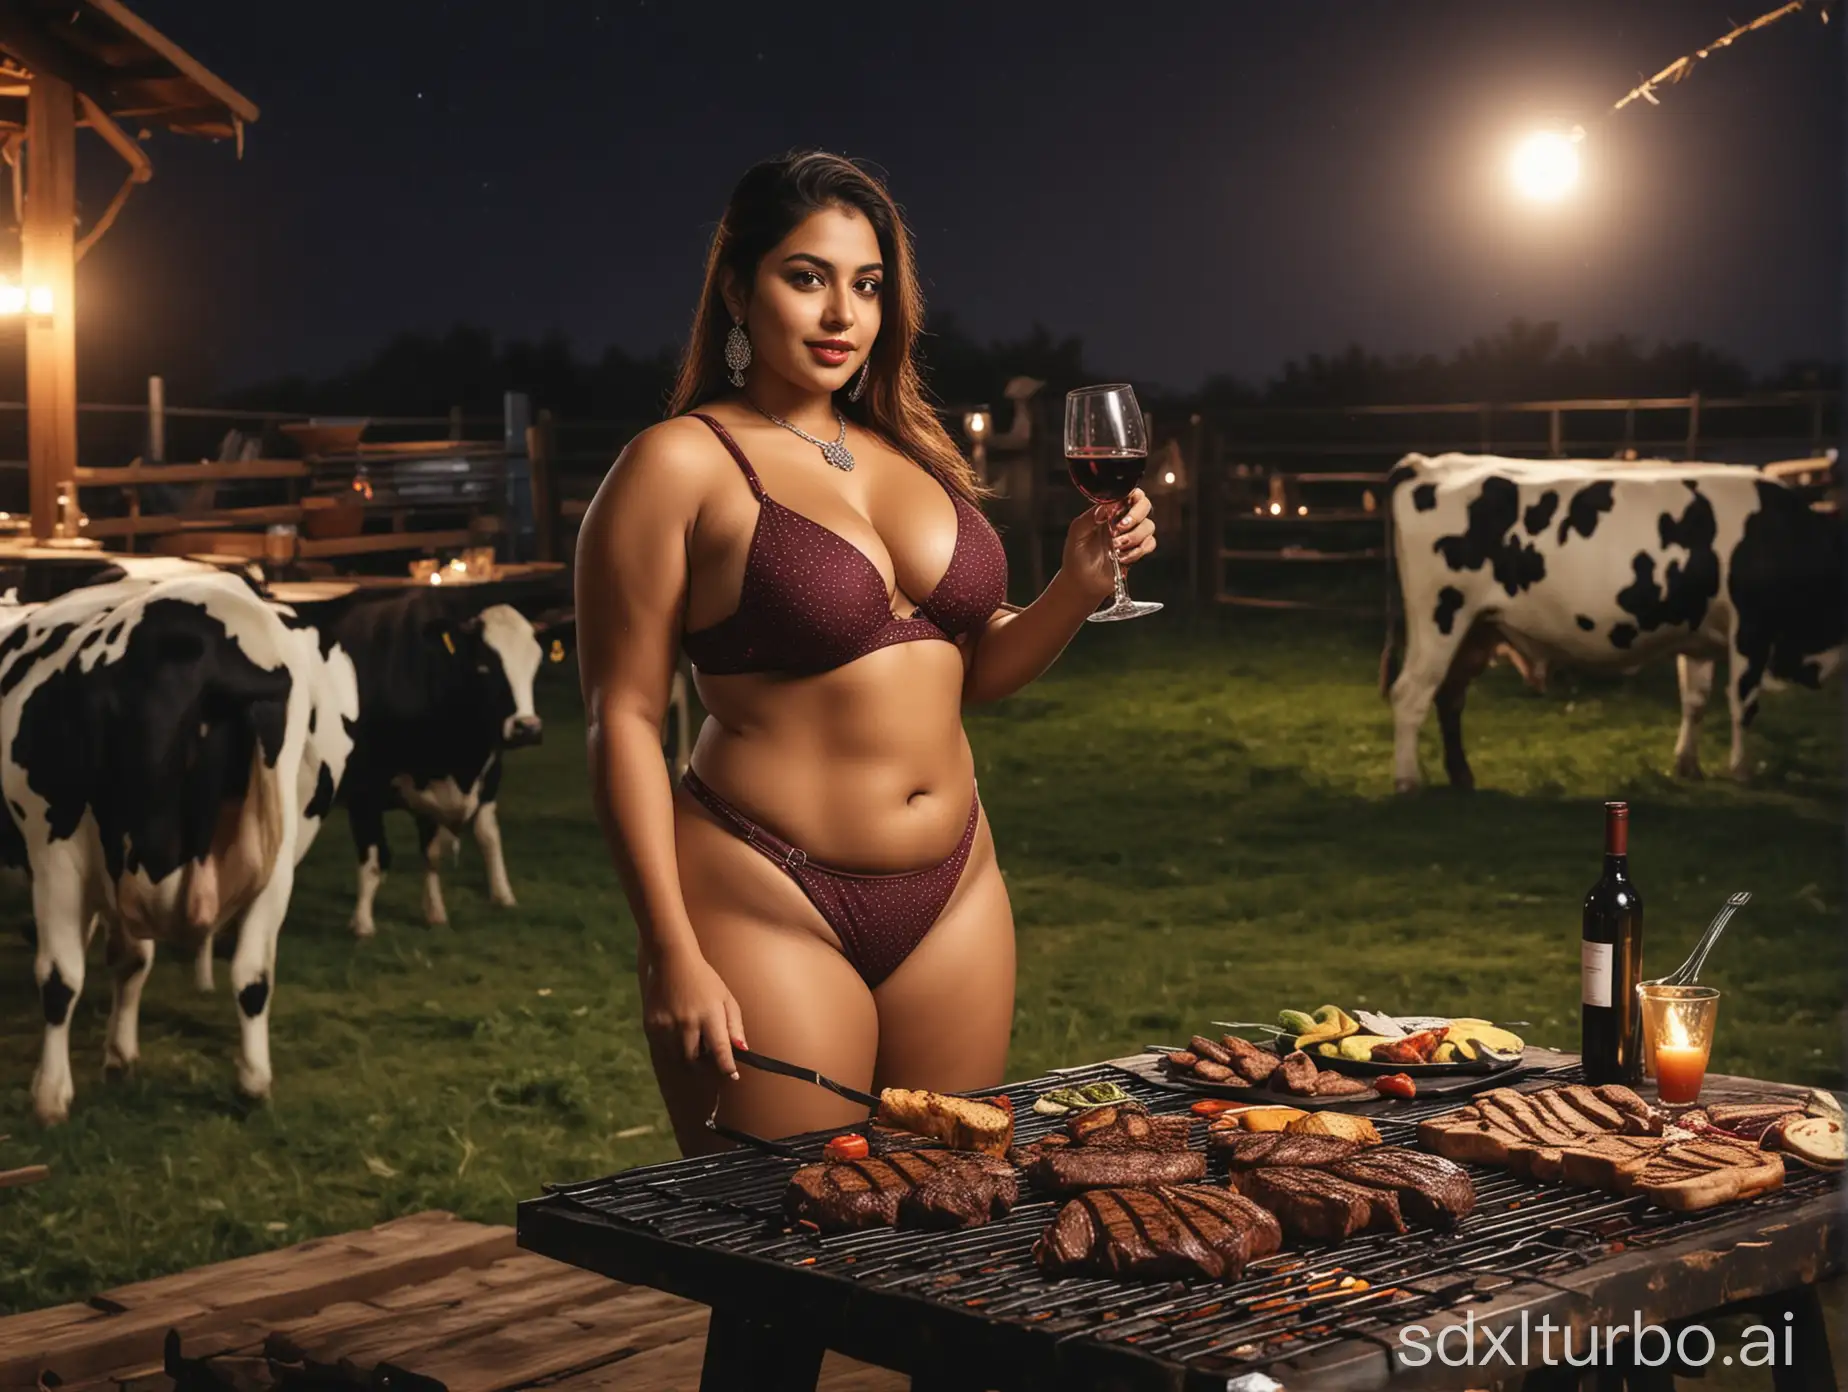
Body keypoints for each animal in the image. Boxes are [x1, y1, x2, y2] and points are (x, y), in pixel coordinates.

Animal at [327, 587, 543, 935]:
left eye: (536, 662)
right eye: (483, 665)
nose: (528, 727)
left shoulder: (477, 779)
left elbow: (460, 844)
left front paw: (440, 911)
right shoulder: (362, 791)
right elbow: (374, 859)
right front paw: (362, 923)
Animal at [1382, 456, 1840, 791]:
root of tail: (1427, 464)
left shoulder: (1700, 636)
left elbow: (1695, 700)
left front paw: (1687, 764)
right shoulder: (1752, 629)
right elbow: (1742, 702)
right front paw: (1742, 770)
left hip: (1478, 627)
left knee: (1449, 696)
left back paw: (1461, 776)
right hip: (1440, 615)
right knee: (1410, 692)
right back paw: (1408, 780)